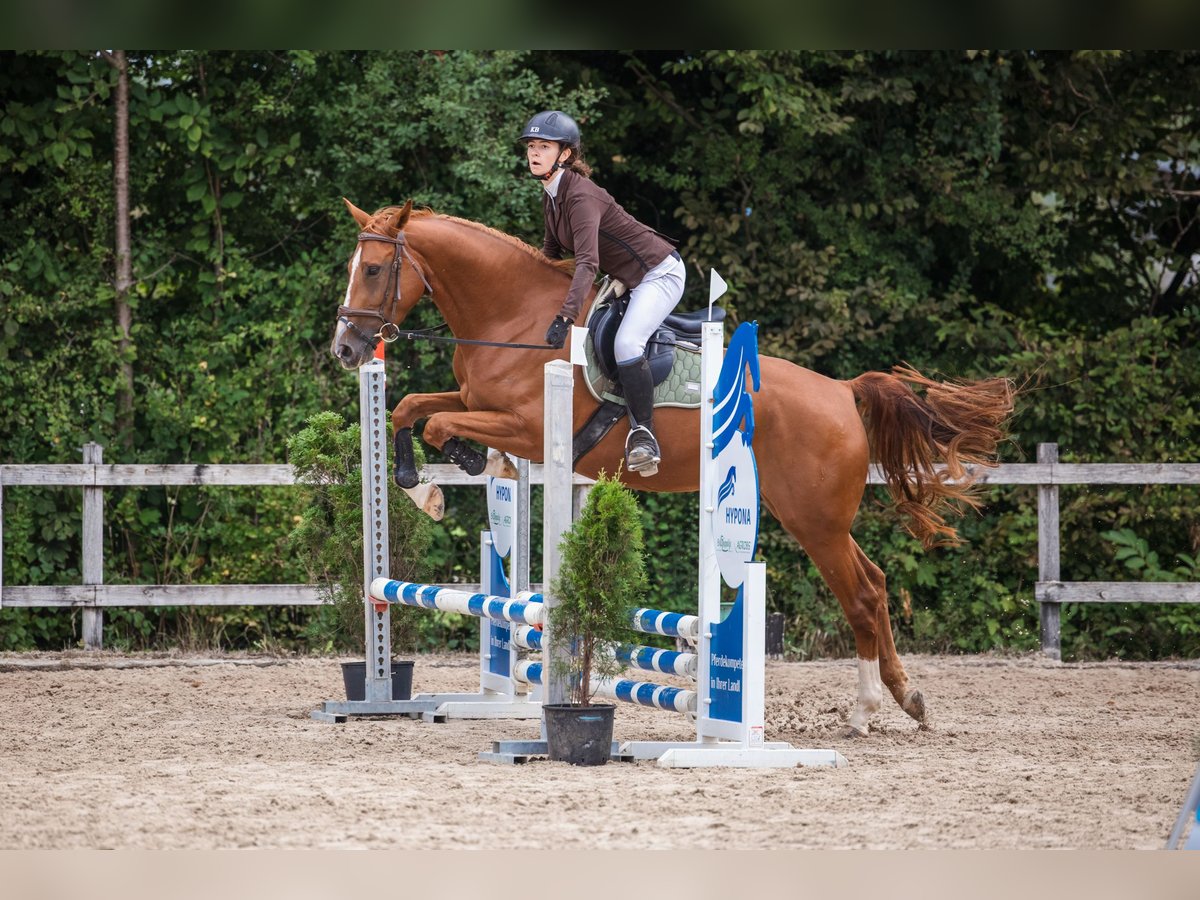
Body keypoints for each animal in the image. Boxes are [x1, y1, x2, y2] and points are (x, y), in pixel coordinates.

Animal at [336, 202, 1012, 739]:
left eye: (372, 269)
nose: (346, 348)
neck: (515, 321)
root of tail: (843, 392)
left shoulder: (523, 427)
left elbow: (438, 426)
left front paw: (447, 478)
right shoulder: (478, 403)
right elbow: (409, 407)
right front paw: (426, 484)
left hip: (813, 518)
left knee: (864, 594)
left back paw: (866, 710)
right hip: (813, 516)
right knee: (873, 581)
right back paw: (909, 698)